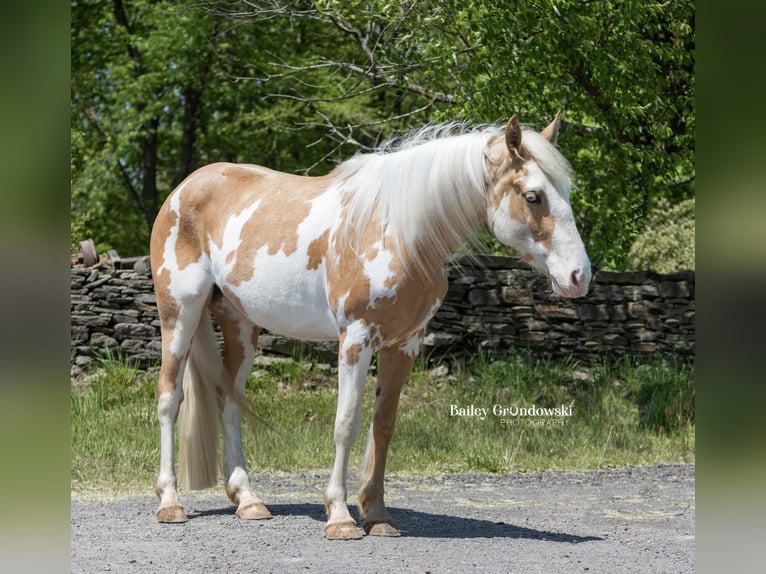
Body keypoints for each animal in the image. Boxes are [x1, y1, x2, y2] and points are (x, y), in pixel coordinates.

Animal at [150, 112, 592, 540]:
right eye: (532, 196)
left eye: (568, 193)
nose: (579, 276)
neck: (399, 233)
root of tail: (183, 190)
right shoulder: (356, 339)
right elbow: (346, 424)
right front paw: (340, 517)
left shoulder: (405, 344)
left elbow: (384, 425)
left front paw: (377, 515)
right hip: (180, 315)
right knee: (170, 398)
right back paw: (170, 502)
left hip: (241, 325)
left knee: (229, 401)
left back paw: (248, 500)